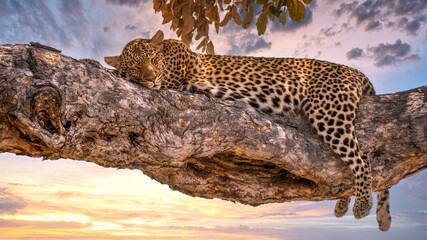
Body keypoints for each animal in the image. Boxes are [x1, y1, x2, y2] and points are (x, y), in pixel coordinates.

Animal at [103, 30, 392, 231]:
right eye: (136, 65)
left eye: (152, 59)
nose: (151, 78)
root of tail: (356, 72)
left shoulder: (171, 82)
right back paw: (343, 204)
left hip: (327, 111)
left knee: (361, 156)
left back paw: (362, 205)